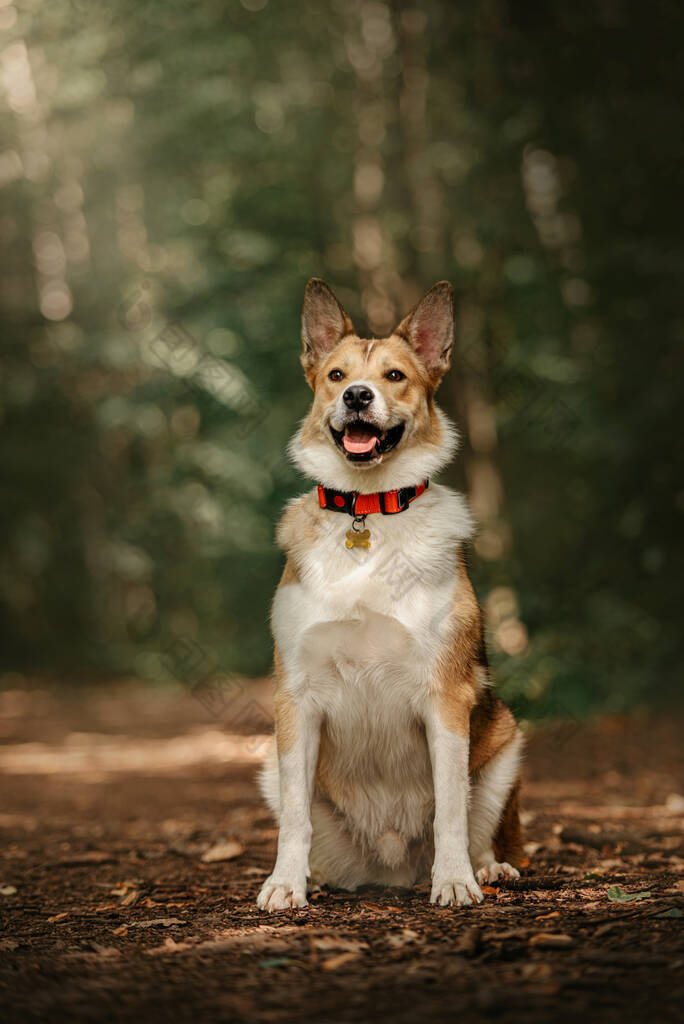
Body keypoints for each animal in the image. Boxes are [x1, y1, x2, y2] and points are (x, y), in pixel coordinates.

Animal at [255, 276, 524, 909]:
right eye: (336, 375)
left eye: (395, 376)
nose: (357, 396)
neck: (368, 511)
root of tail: (394, 869)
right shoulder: (295, 700)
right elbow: (295, 818)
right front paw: (285, 884)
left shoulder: (447, 696)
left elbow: (451, 808)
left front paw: (454, 880)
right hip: (269, 766)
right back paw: (315, 877)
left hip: (505, 740)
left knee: (478, 823)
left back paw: (486, 868)